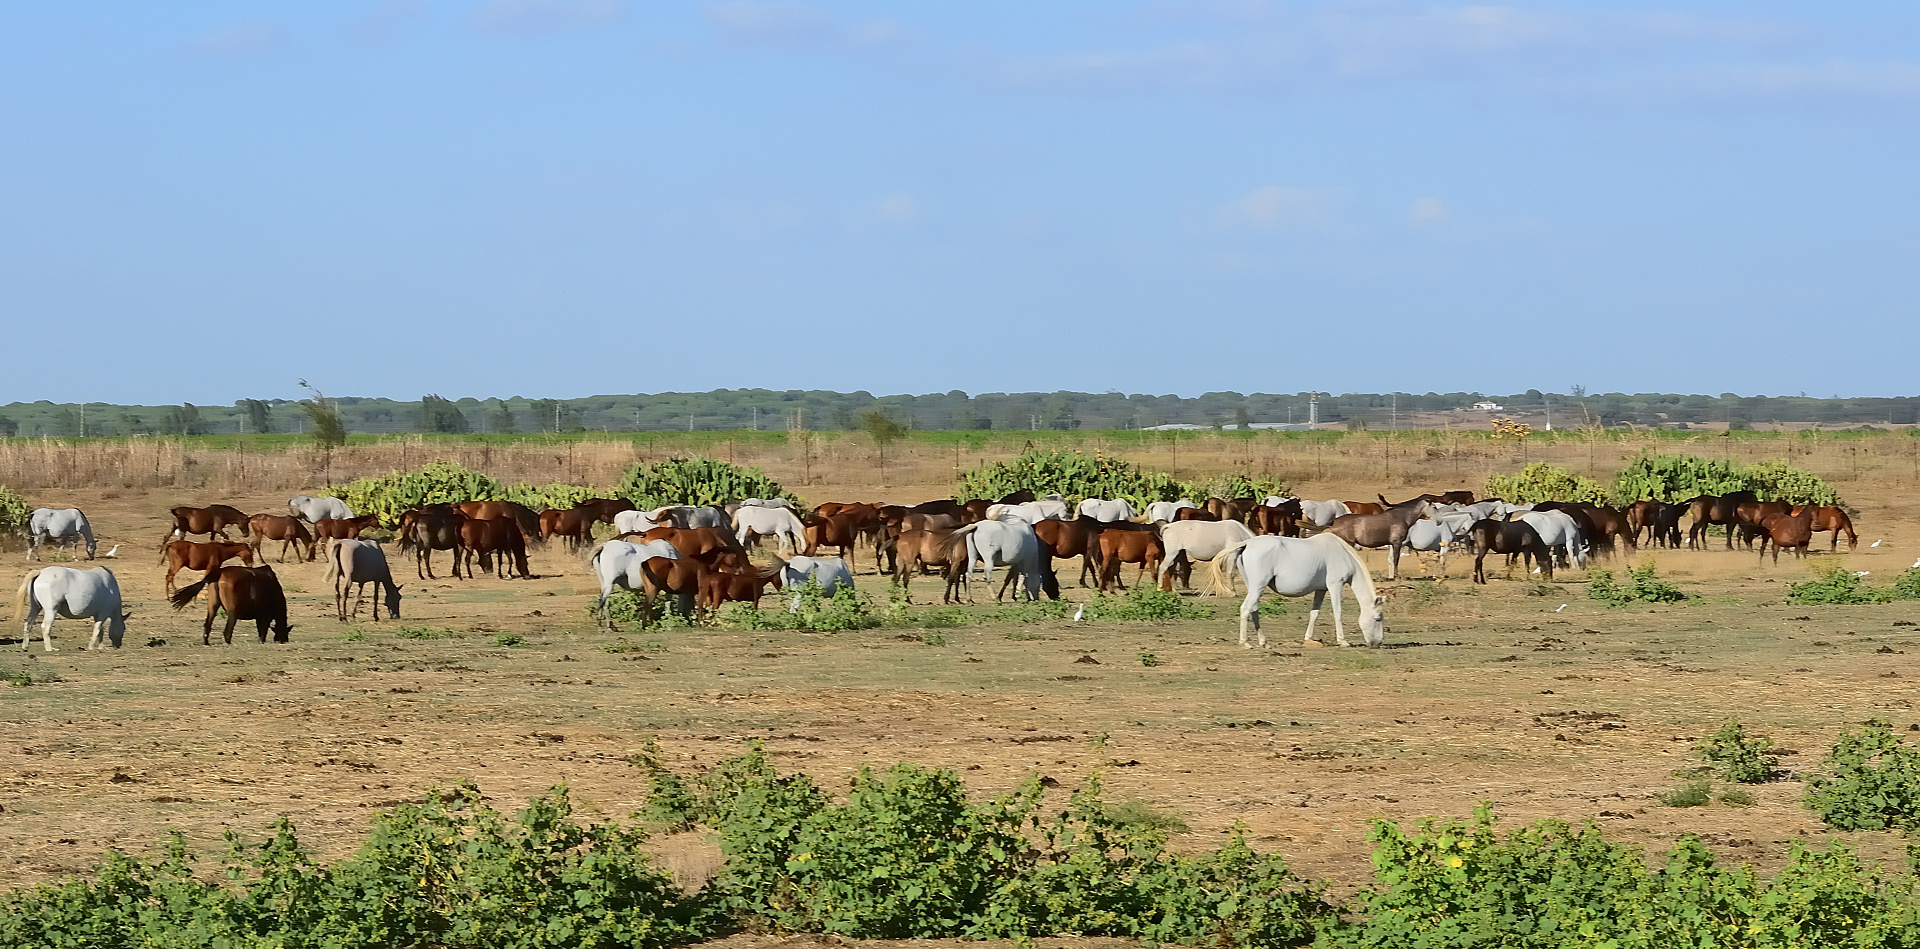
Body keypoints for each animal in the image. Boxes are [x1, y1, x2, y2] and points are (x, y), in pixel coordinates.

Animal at [1205, 537, 1390, 649]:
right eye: (1378, 618)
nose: (1377, 643)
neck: (1342, 554)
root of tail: (1247, 543)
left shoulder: (1321, 590)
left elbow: (1314, 613)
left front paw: (1308, 638)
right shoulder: (1335, 586)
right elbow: (1337, 613)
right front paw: (1342, 641)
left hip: (1254, 587)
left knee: (1254, 610)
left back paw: (1264, 642)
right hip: (1258, 585)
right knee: (1245, 609)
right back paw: (1245, 643)